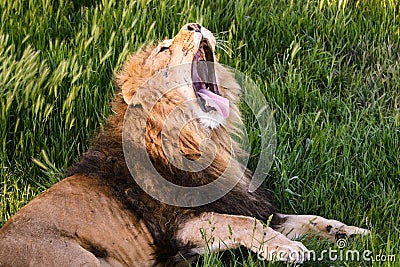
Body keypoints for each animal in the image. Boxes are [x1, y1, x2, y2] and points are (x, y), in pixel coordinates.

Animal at [0, 24, 368, 266]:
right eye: (164, 49)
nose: (194, 24)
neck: (205, 141)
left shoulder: (244, 203)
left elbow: (305, 219)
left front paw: (351, 233)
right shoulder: (177, 225)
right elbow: (244, 224)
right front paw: (288, 249)